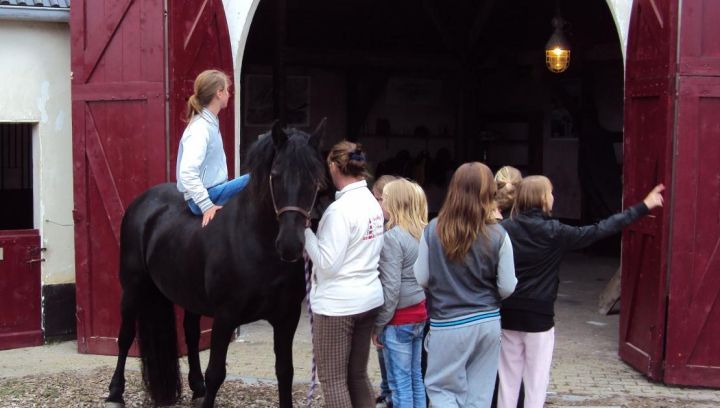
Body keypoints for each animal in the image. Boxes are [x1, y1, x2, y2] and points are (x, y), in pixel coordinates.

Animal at [105, 121, 328, 408]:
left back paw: (196, 387)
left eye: (315, 179)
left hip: (188, 294)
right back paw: (115, 393)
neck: (257, 243)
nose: (290, 245)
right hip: (133, 287)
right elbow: (216, 373)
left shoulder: (287, 317)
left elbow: (285, 372)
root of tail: (142, 203)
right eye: (275, 175)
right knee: (125, 337)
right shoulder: (225, 316)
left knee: (190, 334)